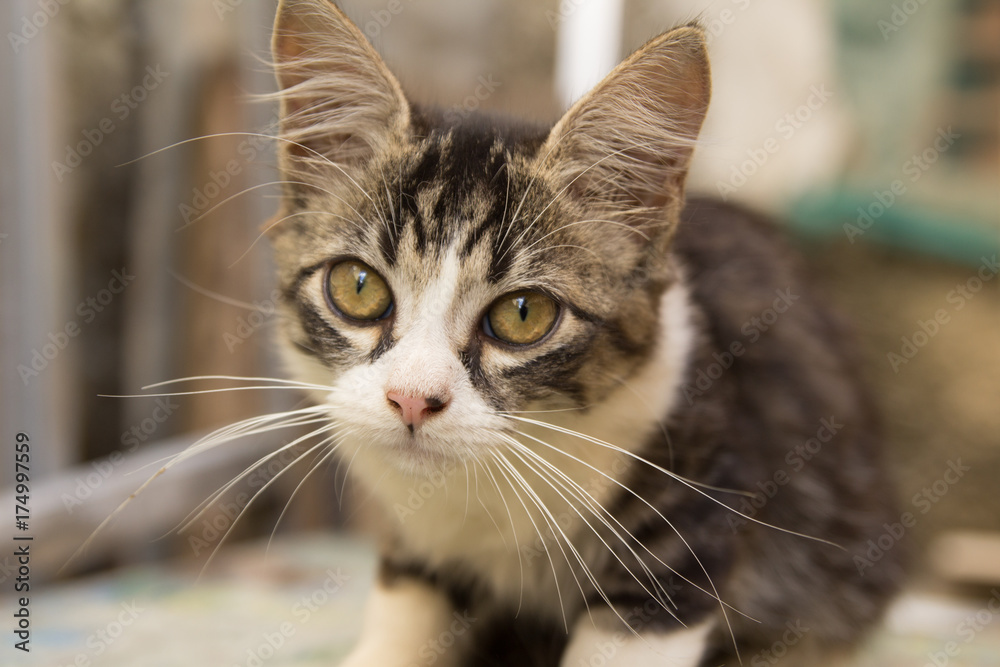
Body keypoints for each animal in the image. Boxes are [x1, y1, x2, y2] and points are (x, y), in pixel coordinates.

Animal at [264, 1, 900, 667]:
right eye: (358, 287)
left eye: (523, 314)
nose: (411, 399)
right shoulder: (416, 536)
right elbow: (407, 605)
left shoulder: (689, 509)